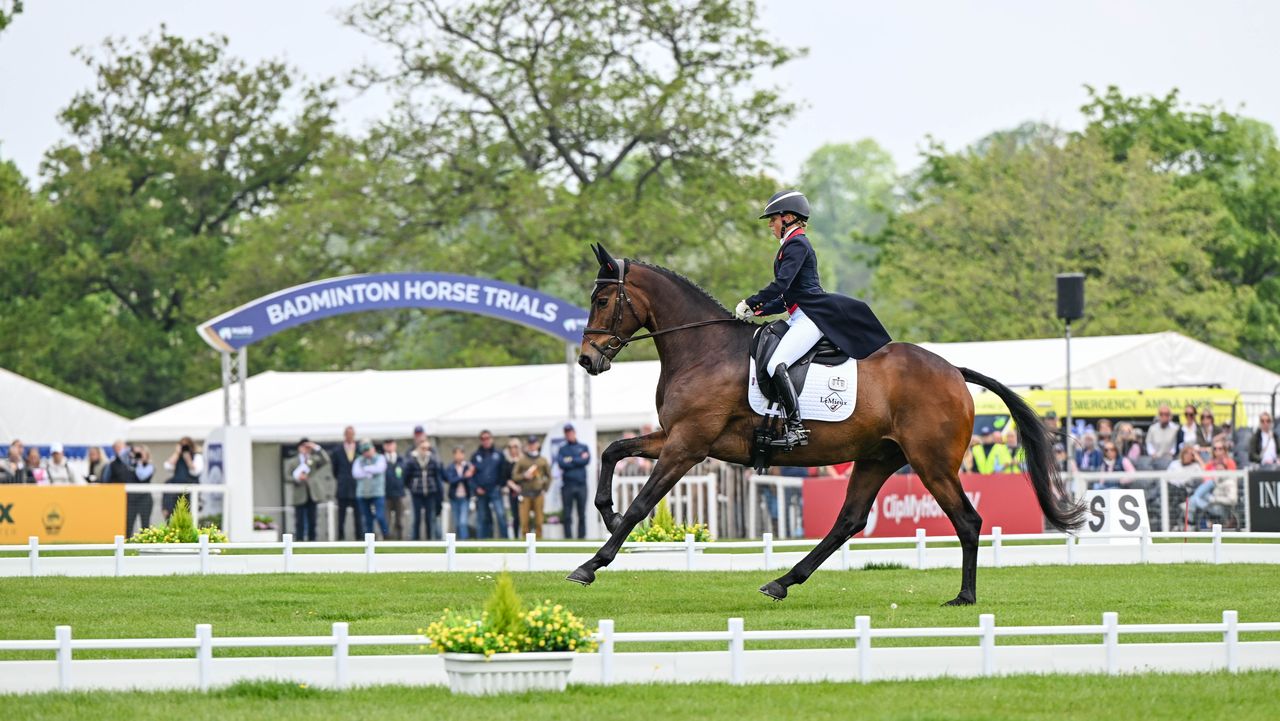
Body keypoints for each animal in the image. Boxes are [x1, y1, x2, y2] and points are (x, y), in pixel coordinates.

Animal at [569, 244, 1085, 605]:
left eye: (602, 299)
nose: (587, 360)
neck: (704, 351)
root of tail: (955, 371)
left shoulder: (688, 445)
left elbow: (641, 505)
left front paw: (591, 564)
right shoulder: (674, 438)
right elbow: (613, 452)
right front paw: (605, 513)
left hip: (932, 463)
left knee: (967, 520)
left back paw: (964, 596)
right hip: (878, 457)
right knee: (848, 521)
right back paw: (782, 582)